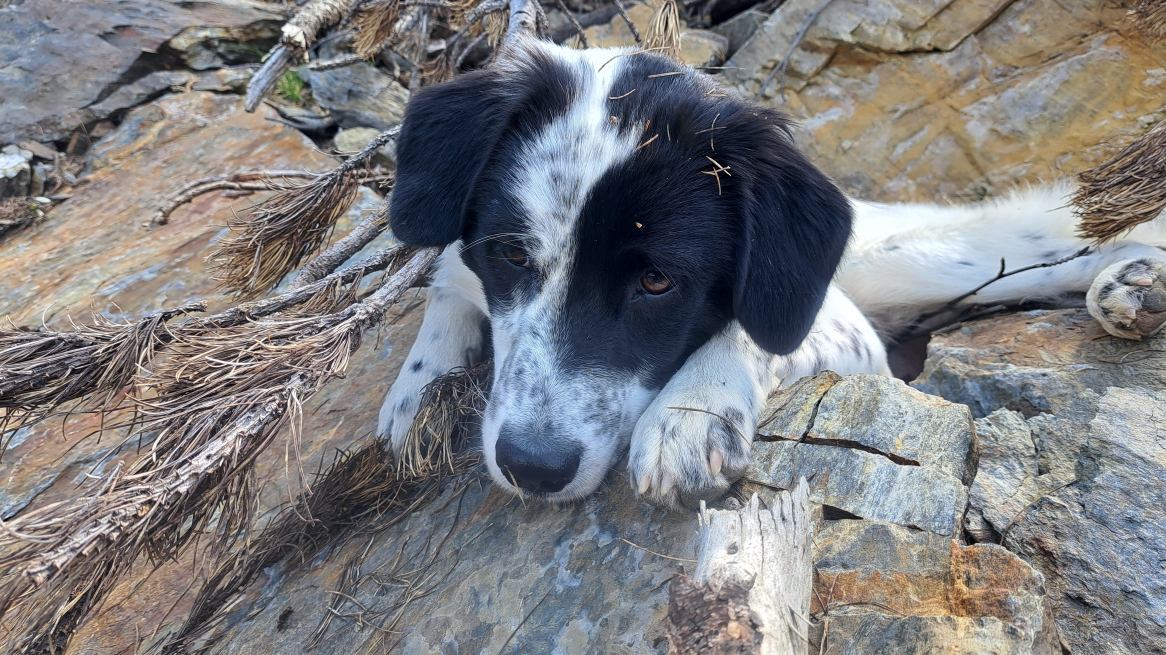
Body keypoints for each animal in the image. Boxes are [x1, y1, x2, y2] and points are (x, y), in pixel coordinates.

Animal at [376, 38, 1166, 509]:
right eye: (512, 254)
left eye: (658, 283)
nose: (533, 469)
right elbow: (446, 286)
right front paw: (418, 388)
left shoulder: (844, 331)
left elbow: (751, 331)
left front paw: (688, 413)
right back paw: (1129, 284)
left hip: (911, 260)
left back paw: (1135, 275)